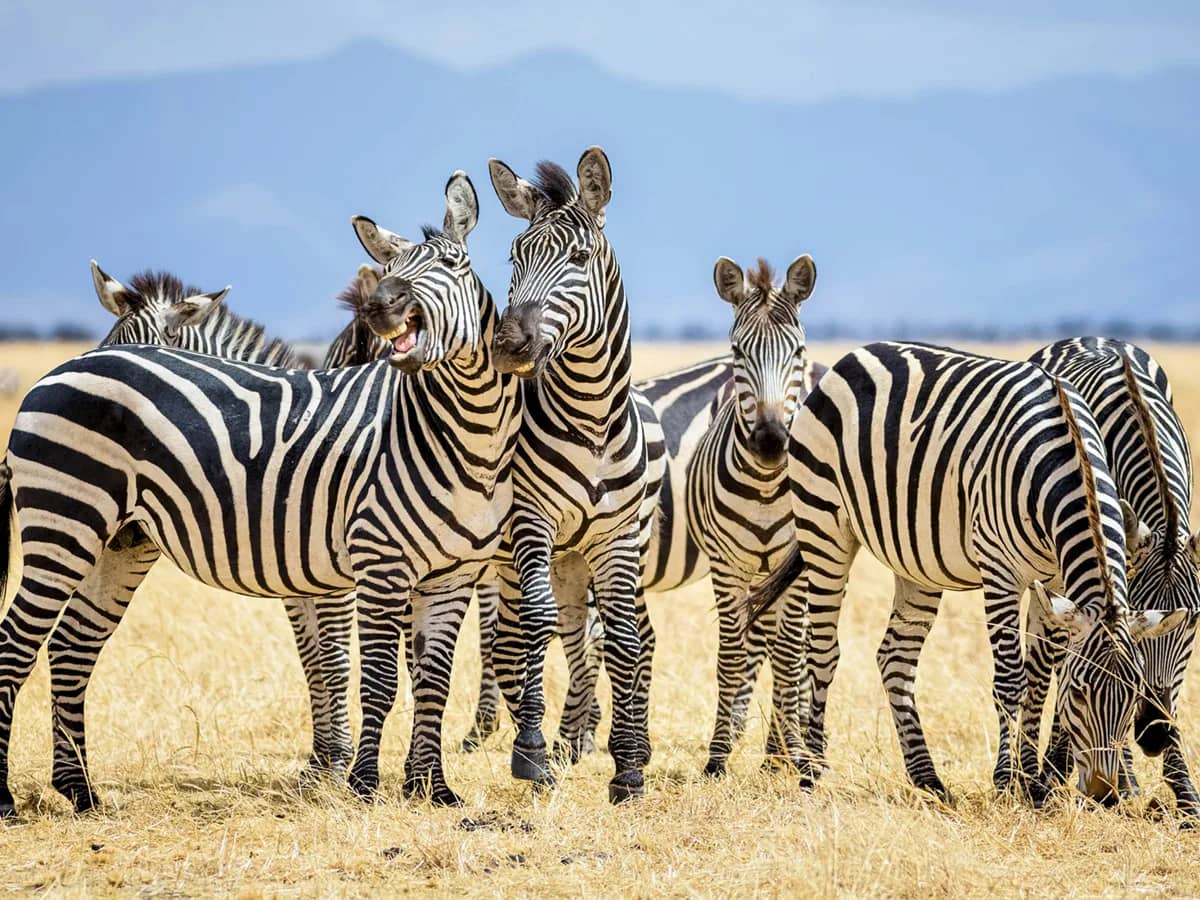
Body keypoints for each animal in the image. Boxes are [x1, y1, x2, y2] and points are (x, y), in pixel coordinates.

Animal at [0, 171, 522, 815]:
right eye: (392, 266)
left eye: (452, 263)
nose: (383, 306)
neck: (462, 431)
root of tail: (50, 376)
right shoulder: (369, 564)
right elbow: (360, 671)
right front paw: (355, 779)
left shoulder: (446, 573)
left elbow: (428, 677)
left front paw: (430, 788)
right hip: (65, 522)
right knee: (16, 646)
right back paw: (8, 795)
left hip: (119, 541)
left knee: (72, 646)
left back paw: (80, 790)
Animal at [485, 148, 658, 803]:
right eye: (514, 258)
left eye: (580, 259)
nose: (508, 346)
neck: (591, 420)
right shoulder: (530, 522)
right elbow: (534, 627)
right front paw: (531, 751)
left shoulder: (615, 538)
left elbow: (626, 638)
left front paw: (628, 765)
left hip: (575, 559)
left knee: (583, 636)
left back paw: (582, 739)